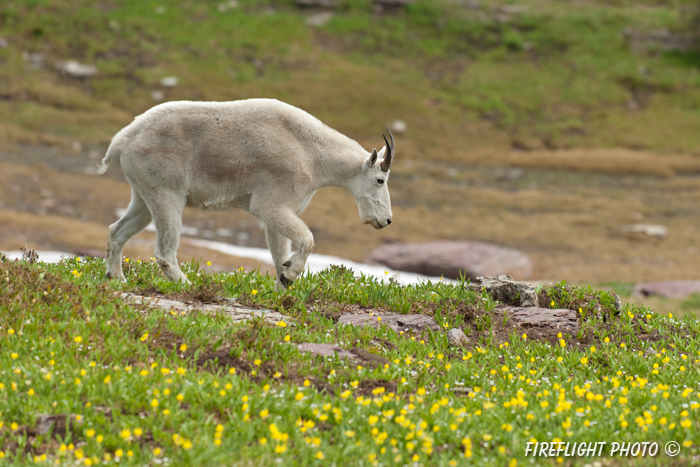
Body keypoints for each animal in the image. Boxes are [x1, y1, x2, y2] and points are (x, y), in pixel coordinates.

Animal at [98, 98, 394, 288]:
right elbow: (307, 238)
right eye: (380, 180)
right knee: (164, 250)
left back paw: (117, 278)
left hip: (143, 190)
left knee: (118, 230)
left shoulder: (280, 211)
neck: (313, 154)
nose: (387, 220)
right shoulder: (272, 201)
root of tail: (122, 140)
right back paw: (187, 285)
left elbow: (279, 253)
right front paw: (291, 274)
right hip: (165, 190)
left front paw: (284, 287)